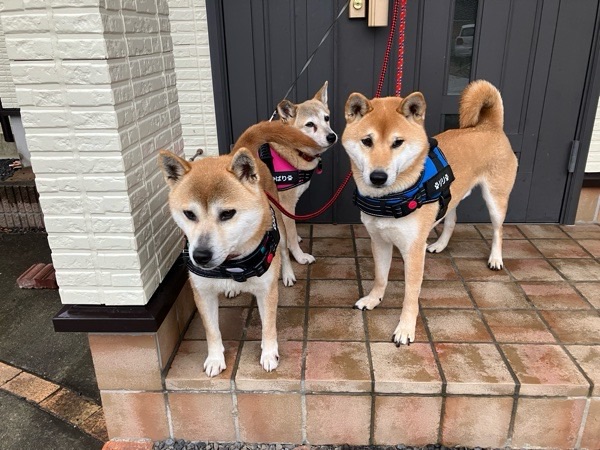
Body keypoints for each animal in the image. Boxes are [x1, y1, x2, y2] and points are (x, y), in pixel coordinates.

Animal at [159, 121, 320, 377]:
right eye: (189, 214)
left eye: (227, 214)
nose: (200, 255)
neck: (232, 265)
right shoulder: (202, 293)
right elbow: (212, 332)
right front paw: (215, 359)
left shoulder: (266, 291)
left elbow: (268, 328)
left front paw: (269, 355)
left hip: (280, 223)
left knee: (285, 250)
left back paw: (287, 274)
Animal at [266, 81, 337, 264]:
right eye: (310, 125)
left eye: (326, 118)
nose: (332, 137)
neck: (294, 150)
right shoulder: (286, 204)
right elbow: (289, 234)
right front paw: (299, 255)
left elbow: (291, 229)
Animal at [342, 80, 517, 345]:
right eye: (367, 141)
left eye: (397, 142)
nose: (378, 176)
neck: (390, 198)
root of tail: (490, 126)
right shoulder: (379, 240)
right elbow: (381, 278)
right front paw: (374, 299)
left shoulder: (413, 251)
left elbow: (410, 295)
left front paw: (405, 329)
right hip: (451, 196)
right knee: (451, 220)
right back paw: (440, 245)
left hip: (495, 200)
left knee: (498, 230)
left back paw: (496, 258)